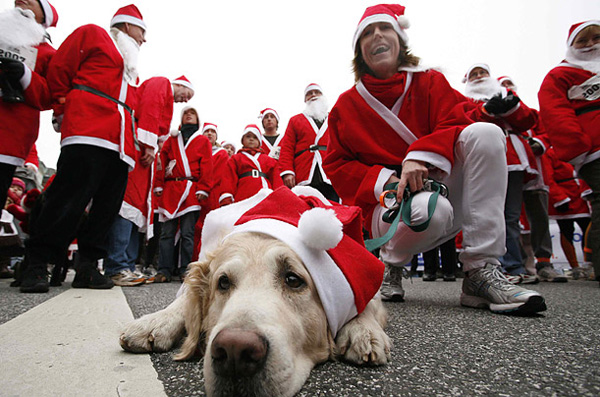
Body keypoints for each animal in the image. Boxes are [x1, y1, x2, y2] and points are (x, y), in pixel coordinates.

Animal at [120, 188, 392, 396]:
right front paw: (155, 322)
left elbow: (366, 306)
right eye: (223, 283)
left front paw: (363, 331)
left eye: (293, 279)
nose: (234, 351)